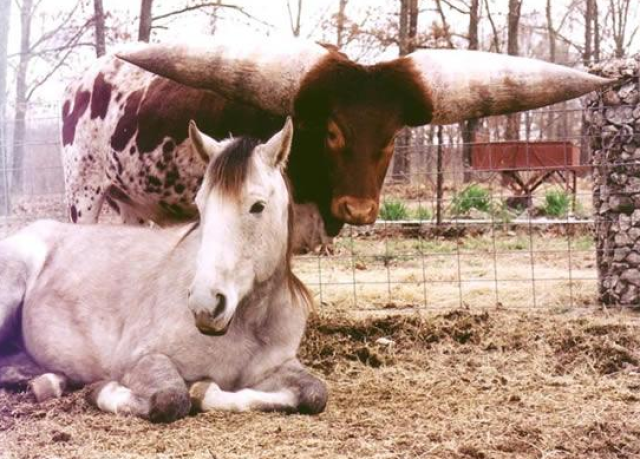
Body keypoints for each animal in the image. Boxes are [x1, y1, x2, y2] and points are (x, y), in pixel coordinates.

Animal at [0, 119, 328, 424]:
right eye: (201, 205)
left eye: (257, 206)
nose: (205, 305)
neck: (249, 323)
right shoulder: (140, 361)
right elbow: (172, 398)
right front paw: (104, 391)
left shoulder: (279, 367)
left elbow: (315, 394)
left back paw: (49, 382)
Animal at [61, 36, 616, 252]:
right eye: (331, 130)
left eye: (392, 137)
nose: (358, 208)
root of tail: (83, 80)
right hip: (83, 195)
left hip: (133, 204)